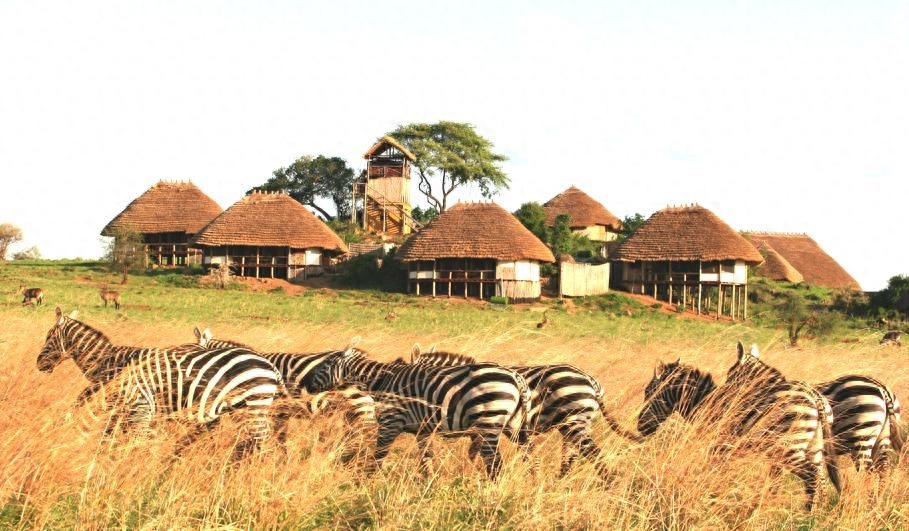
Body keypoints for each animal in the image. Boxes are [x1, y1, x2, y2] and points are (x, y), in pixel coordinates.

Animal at [37, 307, 289, 459]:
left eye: (48, 337)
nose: (38, 364)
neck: (109, 361)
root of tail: (268, 364)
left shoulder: (130, 403)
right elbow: (110, 436)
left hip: (253, 405)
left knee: (260, 441)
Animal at [306, 347, 532, 480]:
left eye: (324, 366)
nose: (306, 386)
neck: (381, 381)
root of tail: (515, 376)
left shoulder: (390, 422)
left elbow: (378, 456)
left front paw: (364, 484)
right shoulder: (423, 430)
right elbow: (426, 460)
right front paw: (429, 485)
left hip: (489, 423)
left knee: (495, 464)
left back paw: (491, 492)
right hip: (513, 425)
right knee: (527, 453)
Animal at [410, 346, 642, 477]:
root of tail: (590, 380)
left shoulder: (481, 427)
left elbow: (474, 455)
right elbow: (474, 454)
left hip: (574, 419)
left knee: (591, 453)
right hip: (572, 424)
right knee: (573, 455)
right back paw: (559, 482)